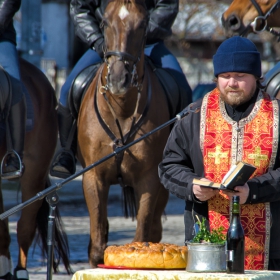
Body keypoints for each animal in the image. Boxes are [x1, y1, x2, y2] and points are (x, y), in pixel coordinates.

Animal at [76, 0, 173, 268]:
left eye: (143, 24)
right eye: (104, 22)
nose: (119, 79)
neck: (122, 107)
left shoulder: (149, 179)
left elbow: (142, 235)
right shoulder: (93, 177)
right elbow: (97, 245)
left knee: (154, 230)